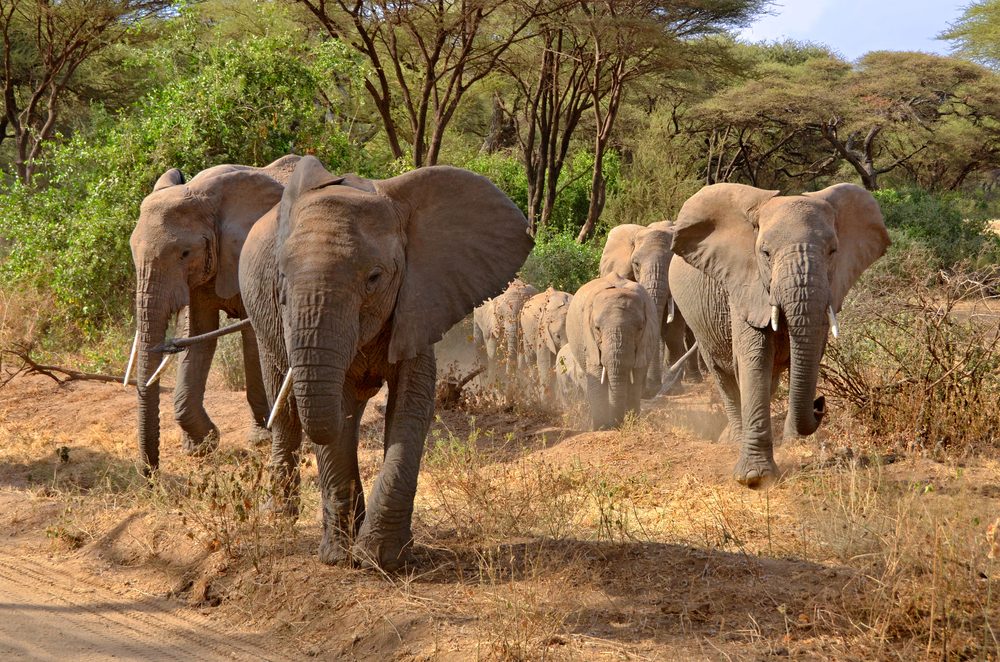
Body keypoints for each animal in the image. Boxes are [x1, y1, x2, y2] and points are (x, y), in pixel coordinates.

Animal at [125, 154, 298, 472]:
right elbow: (198, 334)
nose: (150, 475)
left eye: (184, 253)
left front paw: (260, 439)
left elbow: (252, 334)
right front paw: (200, 446)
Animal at [239, 156, 536, 572]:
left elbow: (411, 404)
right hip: (262, 325)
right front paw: (339, 558)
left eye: (375, 277)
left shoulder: (420, 298)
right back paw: (279, 517)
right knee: (287, 415)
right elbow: (335, 411)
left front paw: (381, 558)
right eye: (280, 280)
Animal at [568, 274, 660, 430]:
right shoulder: (590, 340)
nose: (617, 425)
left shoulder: (644, 341)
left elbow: (635, 379)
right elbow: (597, 376)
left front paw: (631, 425)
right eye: (597, 328)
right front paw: (601, 428)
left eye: (640, 329)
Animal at [596, 220, 700, 396]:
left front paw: (674, 389)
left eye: (672, 266)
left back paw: (694, 379)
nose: (650, 389)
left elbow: (672, 331)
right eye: (636, 264)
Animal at [672, 182, 892, 488]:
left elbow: (809, 353)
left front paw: (791, 444)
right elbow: (754, 361)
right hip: (698, 323)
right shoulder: (744, 287)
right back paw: (732, 439)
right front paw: (754, 478)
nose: (819, 403)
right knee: (723, 375)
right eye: (765, 253)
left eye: (833, 251)